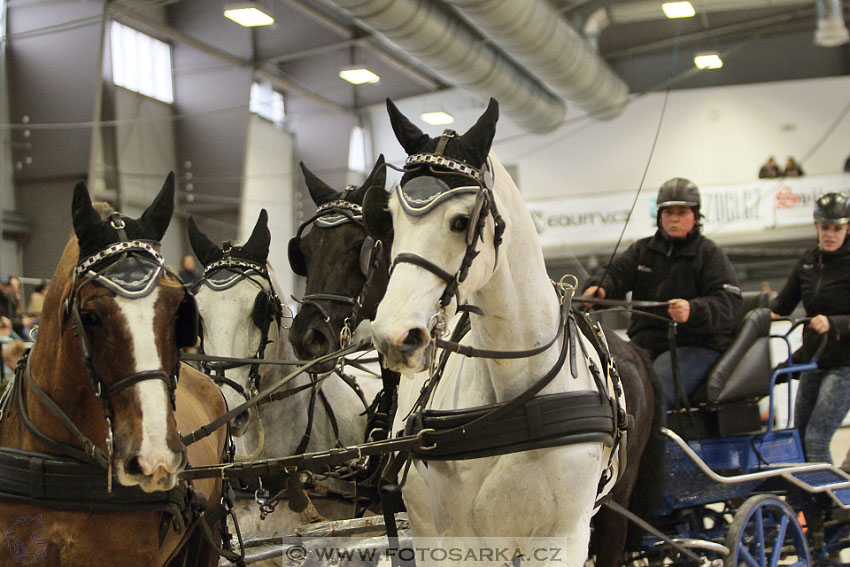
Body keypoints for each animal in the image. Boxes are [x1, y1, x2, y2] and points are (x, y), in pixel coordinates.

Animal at [366, 98, 624, 567]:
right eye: (390, 220)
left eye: (461, 221)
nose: (396, 335)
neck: (517, 395)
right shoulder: (463, 539)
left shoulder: (565, 538)